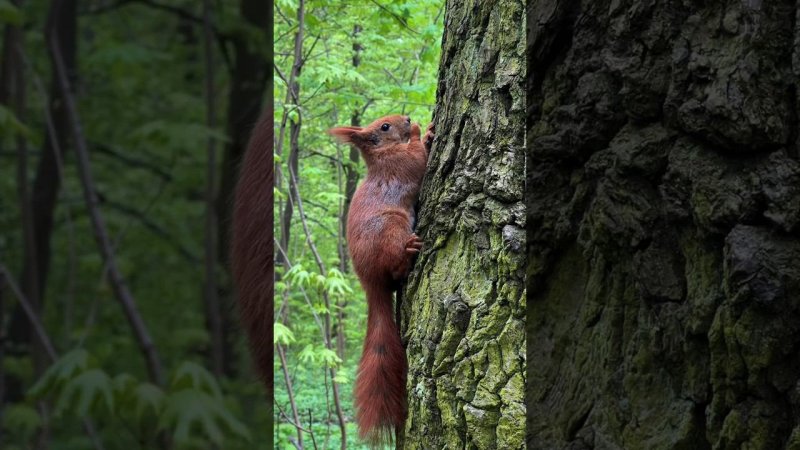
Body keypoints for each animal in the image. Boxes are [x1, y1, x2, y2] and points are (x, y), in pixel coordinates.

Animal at [328, 114, 434, 444]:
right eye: (384, 127)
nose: (408, 118)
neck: (382, 155)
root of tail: (370, 283)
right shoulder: (401, 165)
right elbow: (418, 158)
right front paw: (423, 132)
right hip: (391, 229)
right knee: (396, 268)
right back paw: (408, 252)